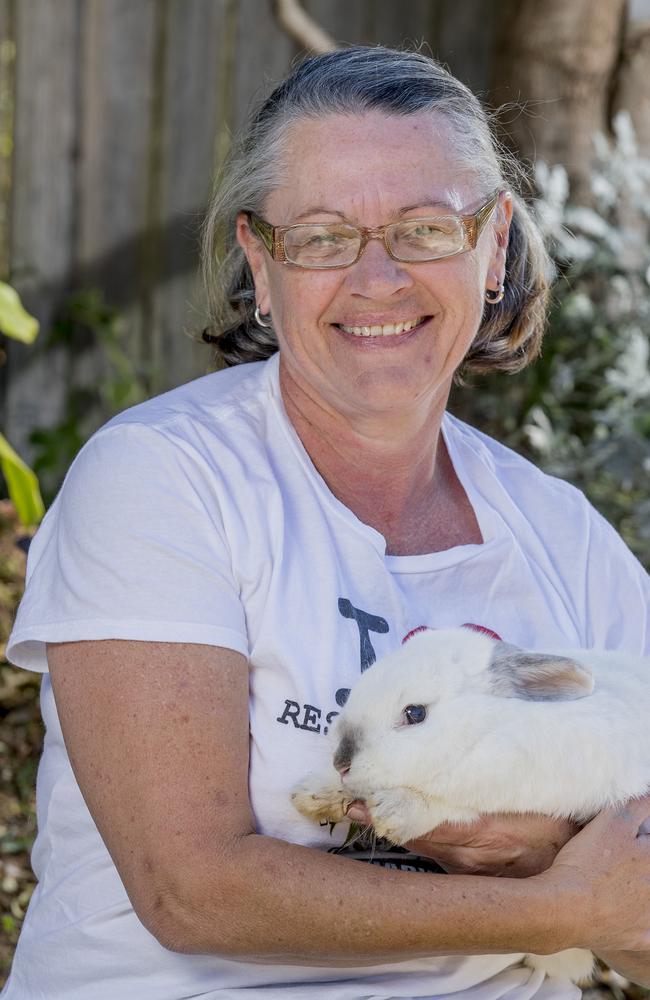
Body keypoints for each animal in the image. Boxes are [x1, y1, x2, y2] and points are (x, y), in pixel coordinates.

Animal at [292, 624, 648, 984]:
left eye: (415, 713)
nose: (341, 761)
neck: (486, 728)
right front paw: (314, 794)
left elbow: (451, 806)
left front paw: (397, 811)